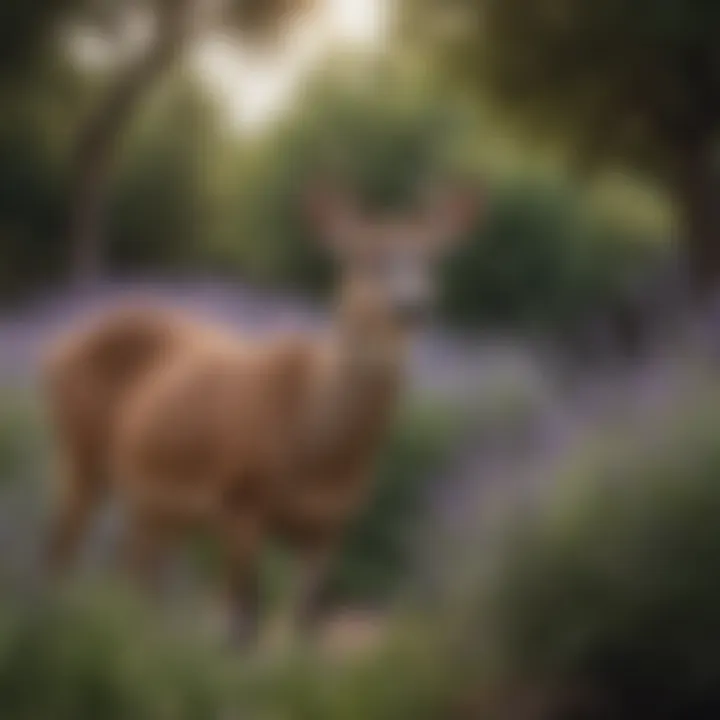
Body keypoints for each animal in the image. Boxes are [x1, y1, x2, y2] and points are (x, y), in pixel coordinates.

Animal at [42, 180, 480, 648]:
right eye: (366, 258)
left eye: (430, 258)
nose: (413, 304)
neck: (317, 447)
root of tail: (56, 349)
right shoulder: (240, 499)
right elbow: (241, 628)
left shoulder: (330, 528)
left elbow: (304, 628)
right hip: (80, 454)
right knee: (62, 554)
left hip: (153, 503)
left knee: (134, 574)